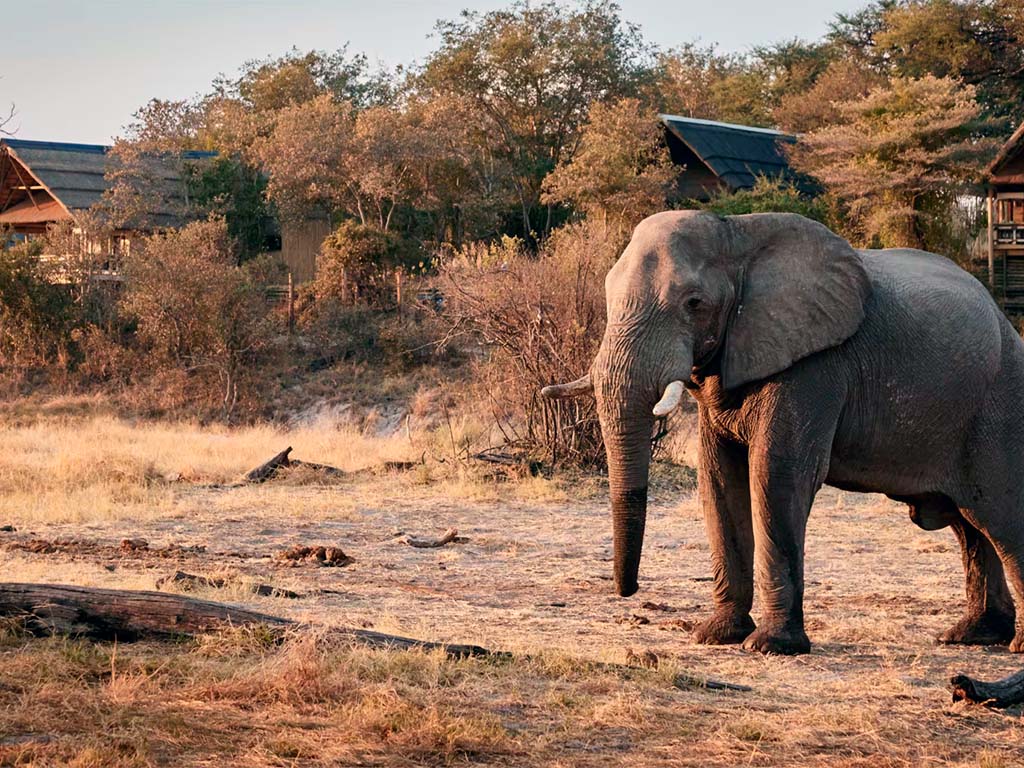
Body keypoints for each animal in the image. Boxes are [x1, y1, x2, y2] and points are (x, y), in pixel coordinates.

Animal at [542, 210, 1024, 655]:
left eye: (694, 303)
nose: (628, 591)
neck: (737, 234)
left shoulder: (816, 365)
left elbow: (776, 476)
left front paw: (769, 646)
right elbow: (718, 480)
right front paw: (716, 635)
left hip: (998, 407)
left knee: (999, 516)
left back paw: (1012, 646)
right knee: (970, 525)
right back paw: (973, 636)